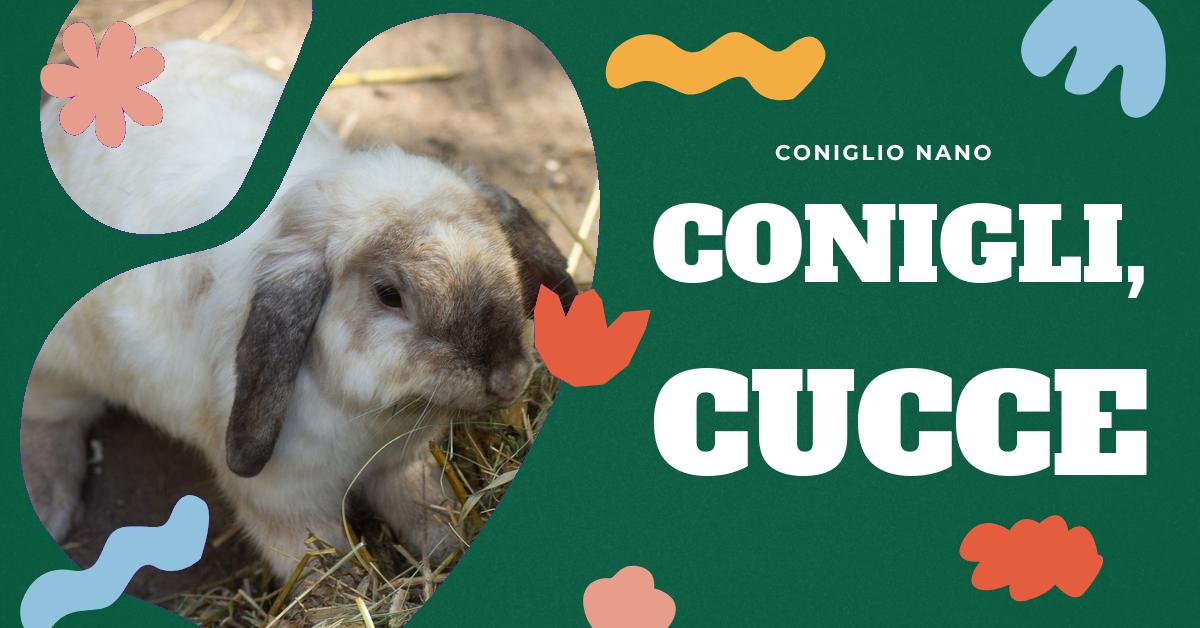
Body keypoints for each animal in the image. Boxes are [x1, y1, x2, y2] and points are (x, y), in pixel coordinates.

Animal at [26, 39, 577, 578]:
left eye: (505, 252)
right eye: (389, 294)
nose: (506, 376)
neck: (371, 420)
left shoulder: (400, 462)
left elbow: (427, 504)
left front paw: (449, 548)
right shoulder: (284, 505)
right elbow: (322, 571)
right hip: (58, 369)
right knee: (48, 420)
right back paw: (50, 507)